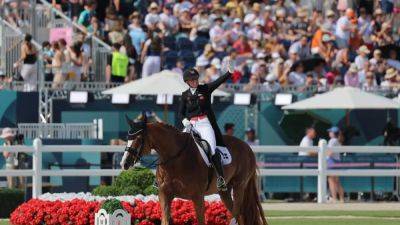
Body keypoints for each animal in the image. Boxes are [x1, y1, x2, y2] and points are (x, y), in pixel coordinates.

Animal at [120, 116, 268, 225]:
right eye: (127, 138)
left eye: (139, 138)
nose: (124, 163)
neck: (176, 157)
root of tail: (247, 147)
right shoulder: (164, 194)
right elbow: (165, 220)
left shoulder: (197, 196)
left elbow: (201, 221)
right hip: (224, 192)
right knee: (239, 215)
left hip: (239, 187)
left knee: (237, 215)